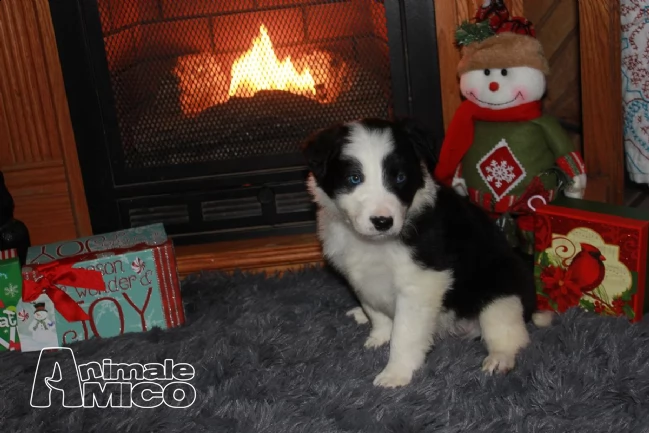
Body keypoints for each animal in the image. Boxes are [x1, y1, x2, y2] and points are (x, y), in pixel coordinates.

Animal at [302, 117, 548, 388]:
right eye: (354, 178)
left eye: (400, 177)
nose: (382, 222)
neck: (375, 244)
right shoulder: (360, 276)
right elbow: (375, 311)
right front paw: (379, 336)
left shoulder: (421, 282)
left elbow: (405, 333)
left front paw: (395, 373)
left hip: (500, 290)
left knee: (510, 332)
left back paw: (499, 358)